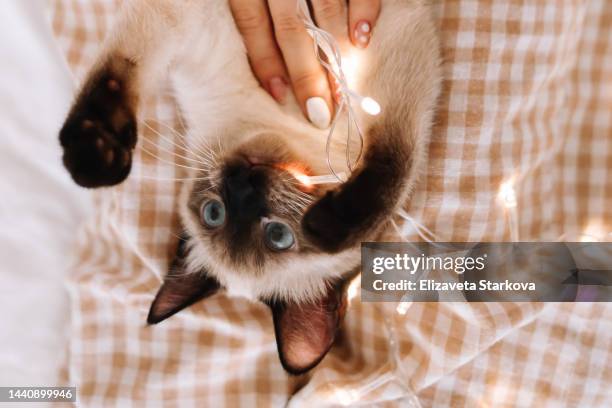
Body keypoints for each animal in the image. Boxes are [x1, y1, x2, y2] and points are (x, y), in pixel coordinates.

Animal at [58, 0, 440, 374]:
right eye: (215, 213)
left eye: (278, 235)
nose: (242, 187)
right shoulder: (178, 23)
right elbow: (119, 73)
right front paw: (93, 158)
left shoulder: (387, 65)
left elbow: (393, 162)